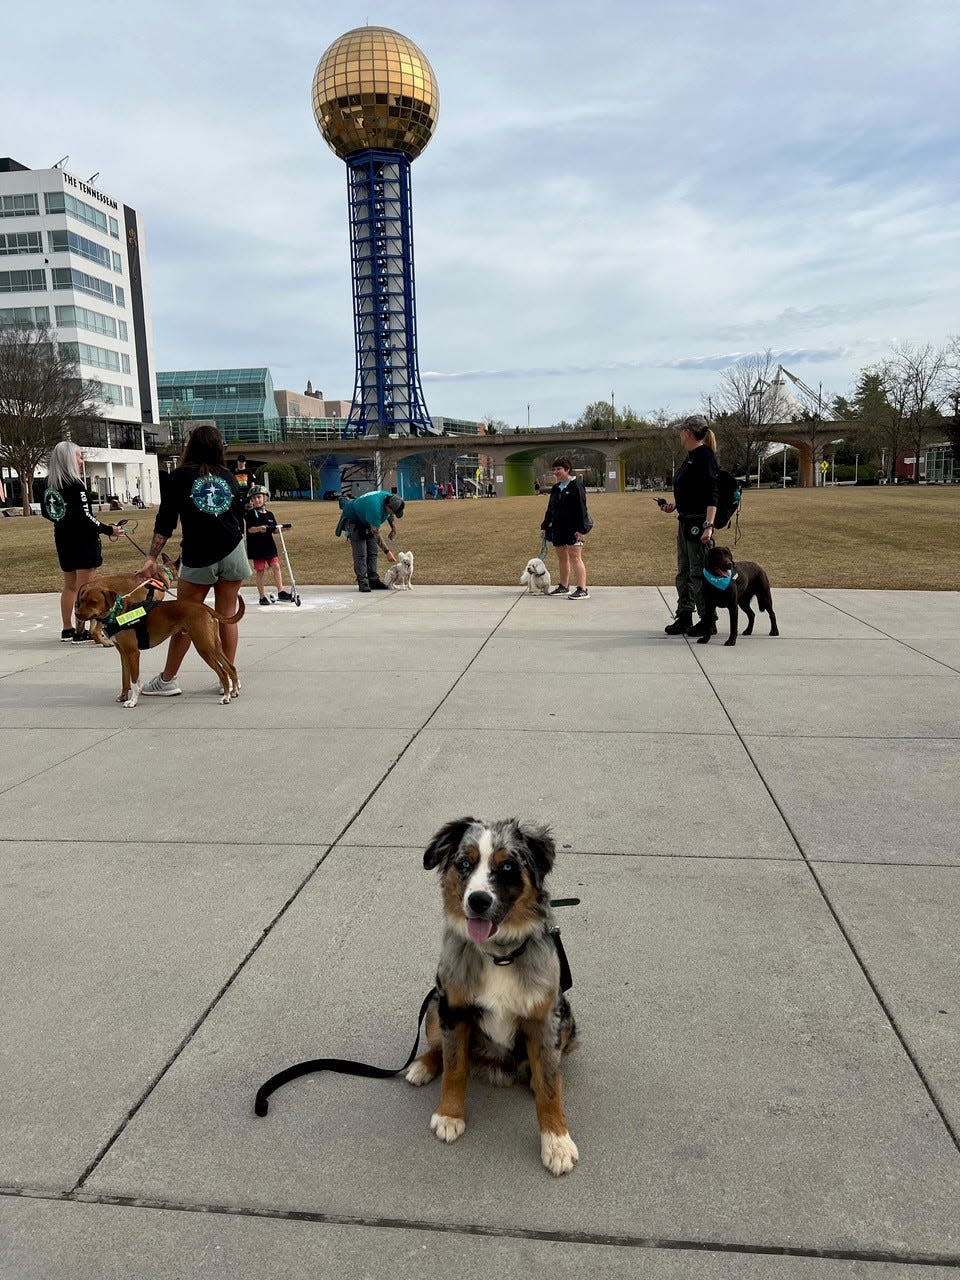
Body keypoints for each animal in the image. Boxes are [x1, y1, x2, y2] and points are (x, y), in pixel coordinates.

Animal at [76, 583, 245, 706]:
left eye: (93, 602)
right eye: (81, 600)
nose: (77, 614)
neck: (117, 613)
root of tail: (205, 608)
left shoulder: (133, 653)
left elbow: (134, 681)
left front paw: (132, 701)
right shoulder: (123, 654)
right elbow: (125, 679)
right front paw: (123, 696)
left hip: (204, 647)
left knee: (222, 672)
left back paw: (226, 697)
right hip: (213, 645)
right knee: (230, 667)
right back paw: (234, 691)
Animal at [407, 814, 578, 1172]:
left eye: (508, 866)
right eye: (464, 863)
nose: (478, 900)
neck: (498, 954)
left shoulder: (545, 1017)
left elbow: (550, 1087)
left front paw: (557, 1142)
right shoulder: (454, 1008)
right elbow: (454, 1067)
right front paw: (449, 1116)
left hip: (567, 1016)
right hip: (434, 1004)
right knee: (441, 1048)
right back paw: (423, 1065)